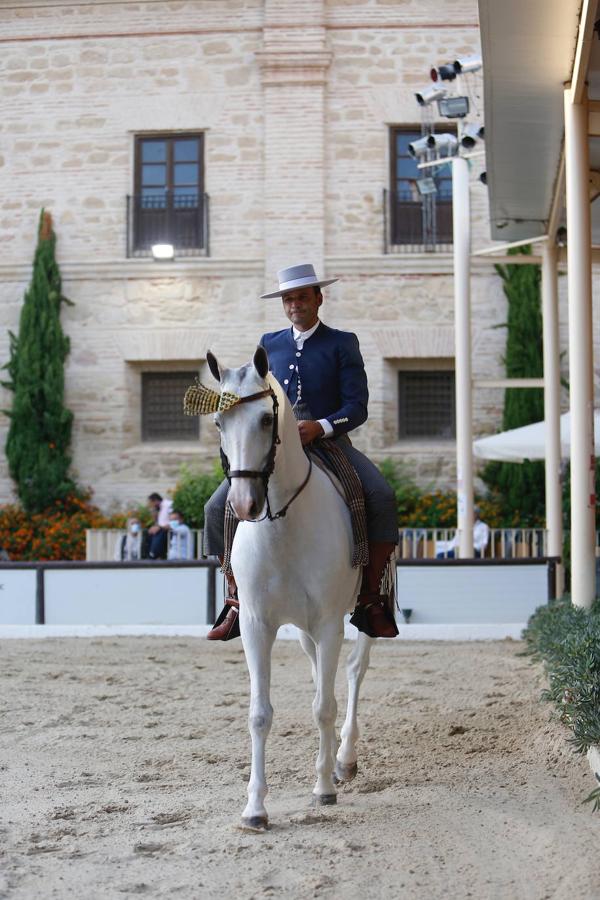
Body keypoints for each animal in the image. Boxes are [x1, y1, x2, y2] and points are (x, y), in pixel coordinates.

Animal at [207, 346, 376, 828]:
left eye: (267, 419)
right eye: (218, 422)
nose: (244, 504)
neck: (282, 524)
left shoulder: (329, 623)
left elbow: (325, 706)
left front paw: (323, 789)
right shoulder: (256, 625)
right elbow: (260, 714)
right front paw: (254, 808)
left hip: (361, 615)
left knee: (354, 671)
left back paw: (344, 760)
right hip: (302, 630)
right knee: (322, 674)